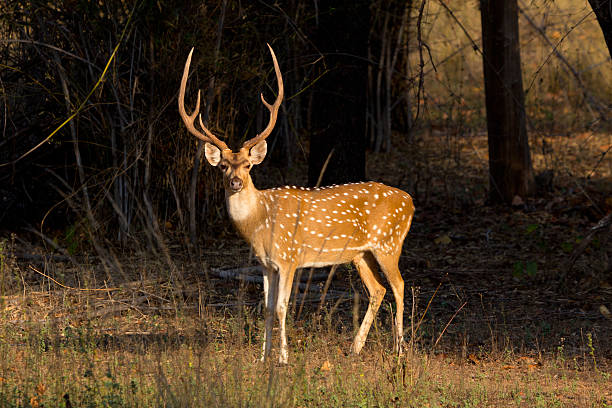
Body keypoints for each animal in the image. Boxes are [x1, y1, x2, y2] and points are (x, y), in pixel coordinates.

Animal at [179, 44, 414, 364]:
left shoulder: (288, 257)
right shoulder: (266, 265)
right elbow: (266, 308)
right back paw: (355, 347)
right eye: (223, 166)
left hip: (388, 243)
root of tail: (410, 201)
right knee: (378, 289)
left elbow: (281, 307)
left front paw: (283, 358)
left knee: (399, 285)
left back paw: (399, 350)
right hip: (360, 253)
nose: (236, 182)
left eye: (248, 166)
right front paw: (262, 358)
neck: (260, 221)